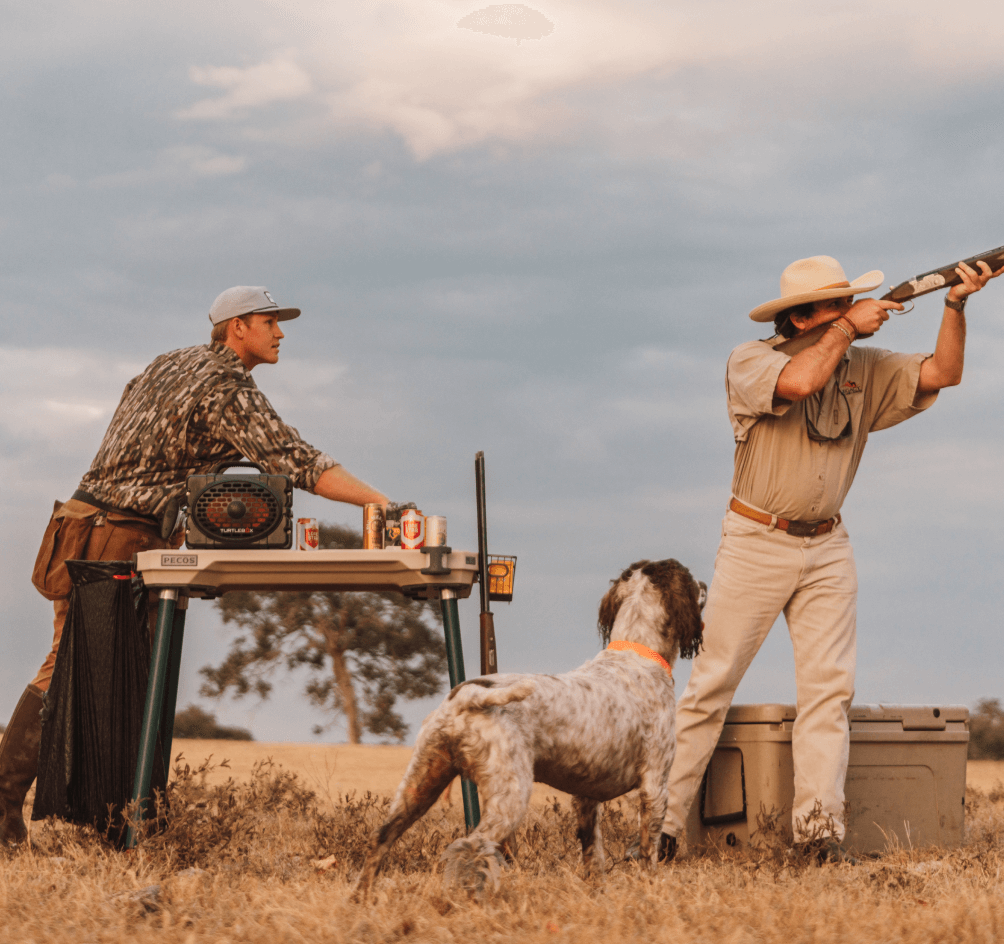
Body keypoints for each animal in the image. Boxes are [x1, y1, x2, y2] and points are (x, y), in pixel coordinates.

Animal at [355, 558, 706, 899]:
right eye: (690, 578)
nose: (705, 583)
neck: (634, 654)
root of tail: (467, 698)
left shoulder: (586, 798)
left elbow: (593, 856)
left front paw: (598, 896)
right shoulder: (655, 786)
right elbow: (648, 853)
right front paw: (652, 891)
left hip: (420, 785)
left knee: (381, 838)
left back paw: (362, 898)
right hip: (510, 795)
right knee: (469, 846)